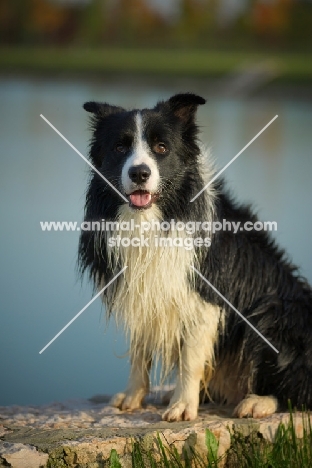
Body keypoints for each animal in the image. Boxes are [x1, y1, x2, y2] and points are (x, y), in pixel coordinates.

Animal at [79, 92, 312, 420]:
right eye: (120, 147)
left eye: (161, 147)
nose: (139, 173)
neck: (155, 218)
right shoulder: (142, 289)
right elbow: (140, 351)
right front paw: (134, 396)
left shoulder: (205, 300)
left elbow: (190, 358)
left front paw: (182, 406)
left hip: (276, 309)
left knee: (298, 389)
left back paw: (258, 401)